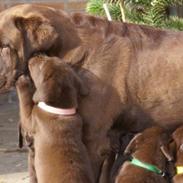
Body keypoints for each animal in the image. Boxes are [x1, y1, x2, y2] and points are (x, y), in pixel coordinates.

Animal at [15, 55, 94, 183]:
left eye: (42, 64)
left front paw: (23, 81)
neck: (60, 111)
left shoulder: (30, 120)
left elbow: (25, 103)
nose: (36, 55)